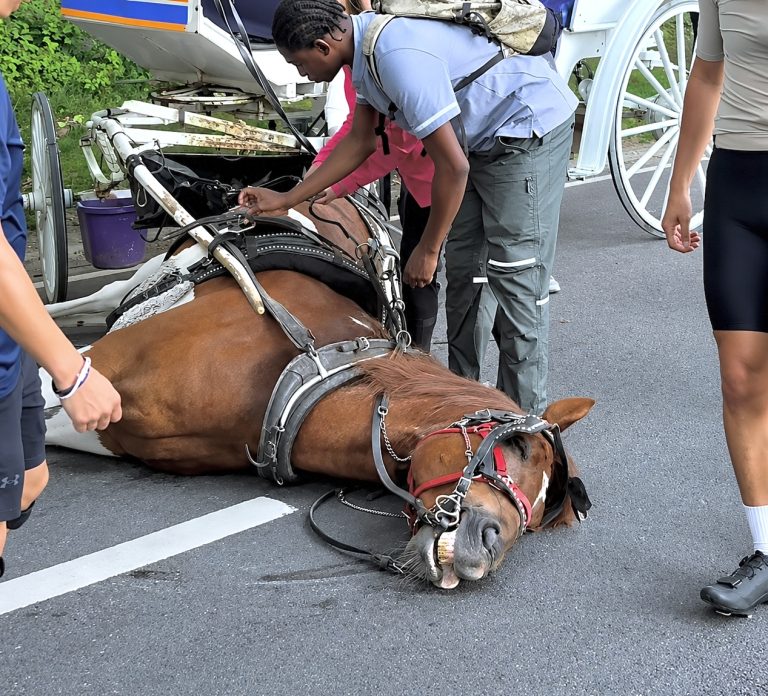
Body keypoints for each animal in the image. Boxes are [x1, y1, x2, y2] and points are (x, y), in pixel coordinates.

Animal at [44, 194, 594, 589]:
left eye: (537, 517)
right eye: (516, 446)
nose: (490, 547)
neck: (295, 380)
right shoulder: (92, 374)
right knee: (97, 298)